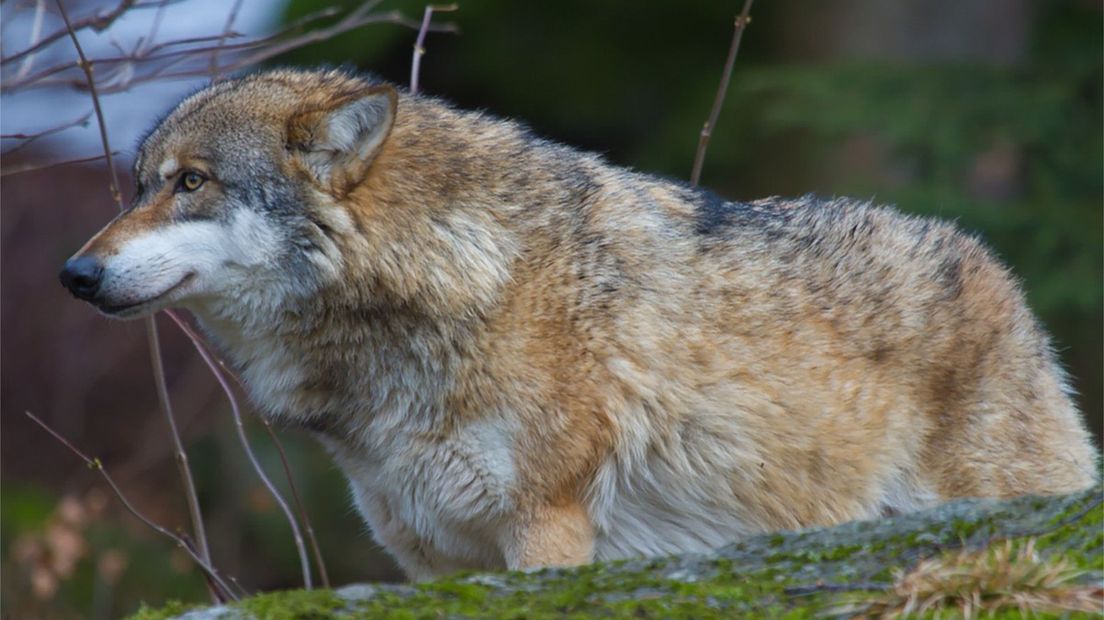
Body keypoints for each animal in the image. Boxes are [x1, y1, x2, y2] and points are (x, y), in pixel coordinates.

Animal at [60, 68, 1095, 578]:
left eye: (193, 183)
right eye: (142, 183)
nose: (74, 273)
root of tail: (1001, 275)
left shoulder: (546, 530)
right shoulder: (431, 560)